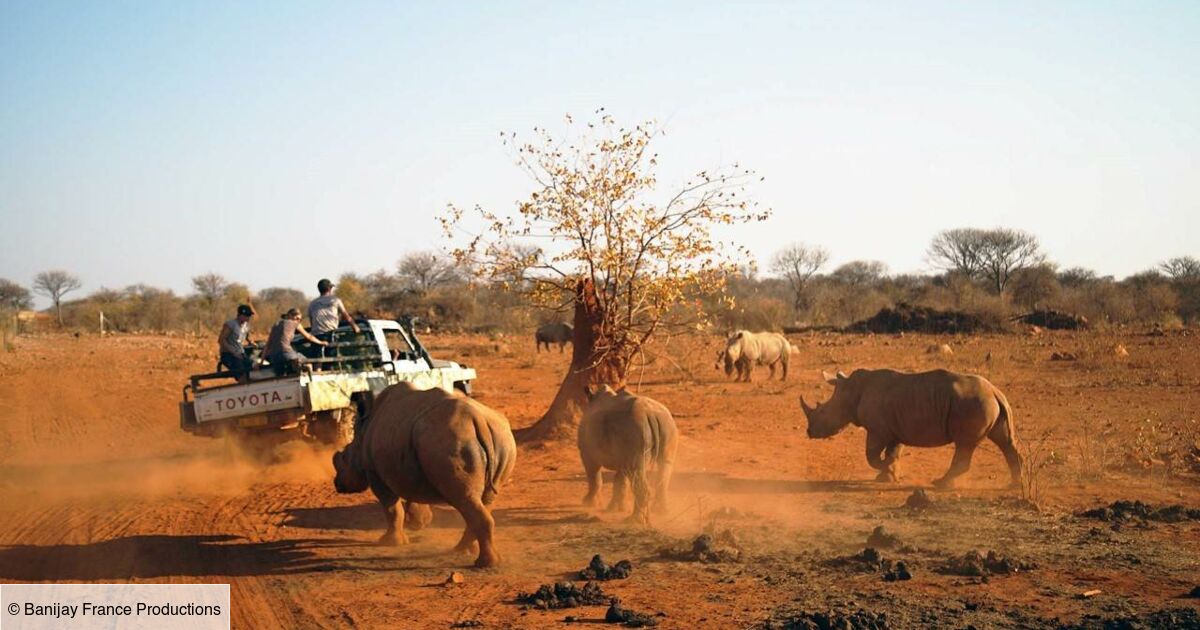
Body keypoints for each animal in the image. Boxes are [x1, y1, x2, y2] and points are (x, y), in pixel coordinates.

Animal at [333, 381, 516, 566]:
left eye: (344, 458)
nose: (337, 484)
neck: (362, 434)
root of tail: (479, 420)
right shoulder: (408, 464)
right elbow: (412, 494)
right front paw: (419, 523)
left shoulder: (374, 471)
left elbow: (391, 508)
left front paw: (390, 542)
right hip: (501, 438)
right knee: (483, 500)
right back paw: (463, 551)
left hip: (449, 440)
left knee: (465, 499)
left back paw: (484, 563)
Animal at [796, 364, 1022, 489]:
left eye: (823, 412)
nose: (809, 432)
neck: (850, 391)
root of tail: (995, 392)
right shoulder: (894, 429)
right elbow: (893, 451)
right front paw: (888, 476)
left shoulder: (878, 430)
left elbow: (871, 455)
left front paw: (889, 471)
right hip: (988, 403)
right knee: (1004, 441)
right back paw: (1013, 484)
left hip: (973, 403)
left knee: (964, 444)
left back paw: (940, 484)